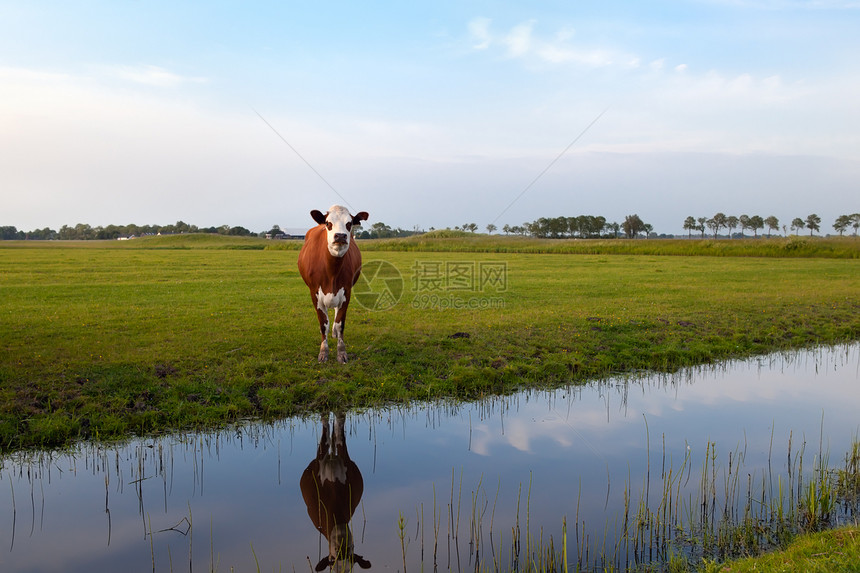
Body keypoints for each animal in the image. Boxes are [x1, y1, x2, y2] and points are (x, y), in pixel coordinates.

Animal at [298, 207, 368, 362]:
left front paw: (341, 352)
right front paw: (323, 352)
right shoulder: (315, 294)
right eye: (328, 223)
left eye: (349, 223)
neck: (332, 269)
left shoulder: (346, 292)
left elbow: (340, 322)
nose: (340, 236)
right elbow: (324, 323)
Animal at [298, 412, 370, 568]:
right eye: (331, 561)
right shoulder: (318, 462)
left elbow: (339, 434)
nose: (341, 549)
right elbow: (325, 433)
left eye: (351, 559)